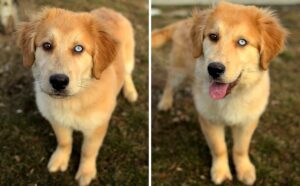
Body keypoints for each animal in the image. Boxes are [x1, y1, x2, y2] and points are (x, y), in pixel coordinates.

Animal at [17, 6, 137, 185]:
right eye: (47, 45)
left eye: (79, 48)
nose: (58, 81)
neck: (74, 100)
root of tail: (108, 9)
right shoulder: (57, 120)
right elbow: (64, 141)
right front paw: (60, 159)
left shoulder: (96, 127)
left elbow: (88, 150)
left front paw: (86, 172)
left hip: (129, 57)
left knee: (128, 73)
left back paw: (130, 91)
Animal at [154, 2, 288, 185]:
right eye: (213, 36)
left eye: (242, 42)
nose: (214, 69)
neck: (231, 96)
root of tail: (184, 21)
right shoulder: (209, 120)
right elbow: (219, 148)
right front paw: (221, 172)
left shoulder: (248, 121)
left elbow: (240, 148)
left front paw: (244, 169)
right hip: (179, 70)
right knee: (169, 84)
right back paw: (165, 102)